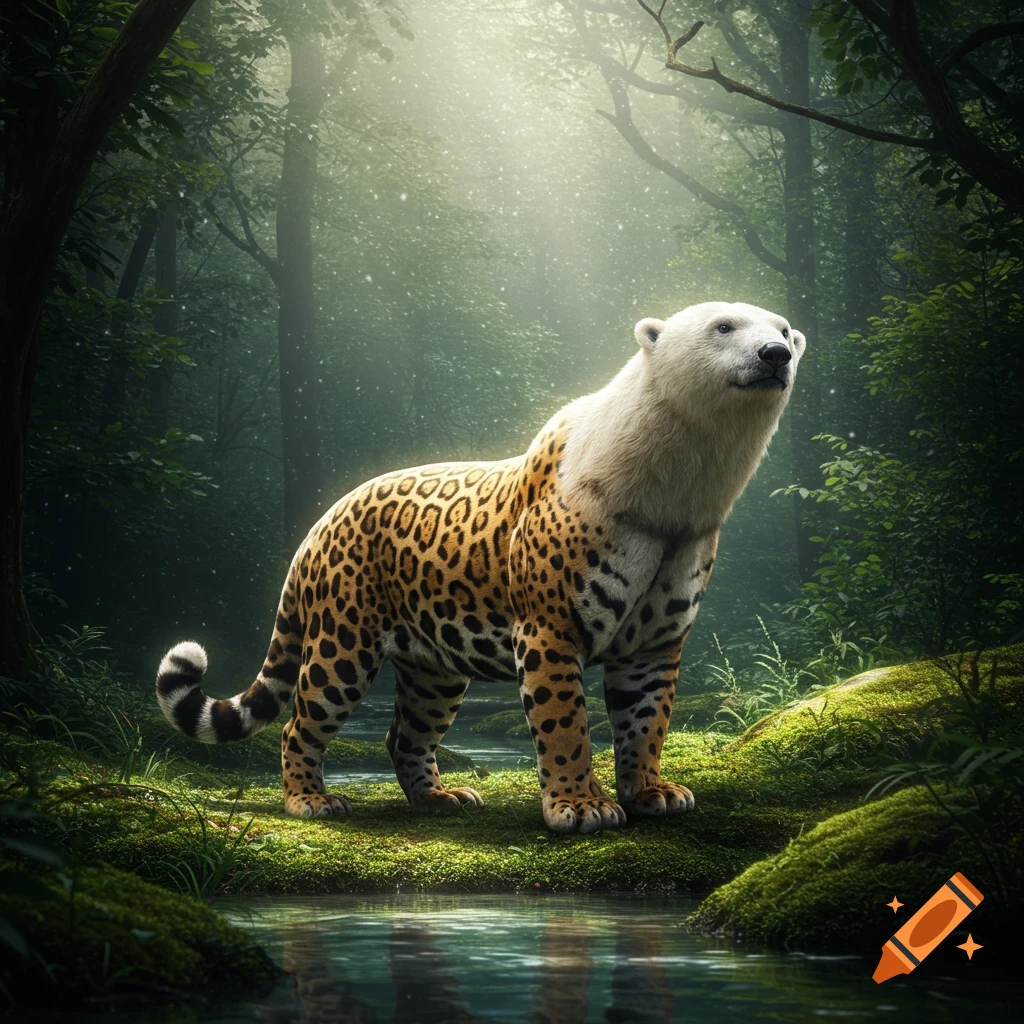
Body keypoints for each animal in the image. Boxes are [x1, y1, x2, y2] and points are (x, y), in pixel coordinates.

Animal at [156, 301, 806, 833]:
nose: (776, 355)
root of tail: (321, 523)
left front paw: (649, 792)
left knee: (402, 735)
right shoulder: (550, 629)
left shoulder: (654, 643)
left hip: (434, 671)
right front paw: (580, 806)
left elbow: (647, 724)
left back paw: (438, 799)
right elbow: (566, 724)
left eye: (782, 332)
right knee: (299, 723)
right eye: (723, 327)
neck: (688, 480)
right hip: (341, 646)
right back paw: (309, 800)